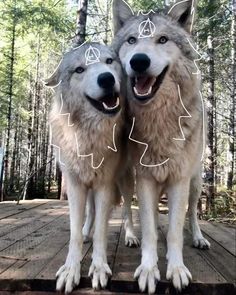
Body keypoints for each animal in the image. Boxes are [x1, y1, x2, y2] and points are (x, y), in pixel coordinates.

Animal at [44, 42, 138, 294]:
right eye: (79, 70)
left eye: (109, 62)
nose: (106, 79)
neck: (88, 135)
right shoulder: (75, 183)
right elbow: (75, 233)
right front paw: (71, 270)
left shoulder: (105, 184)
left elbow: (102, 233)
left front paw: (98, 267)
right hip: (88, 185)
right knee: (91, 212)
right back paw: (88, 231)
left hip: (124, 181)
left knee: (127, 211)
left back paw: (131, 236)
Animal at [112, 0, 210, 294]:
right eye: (132, 40)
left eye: (163, 40)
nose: (139, 61)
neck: (158, 121)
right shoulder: (145, 179)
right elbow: (149, 227)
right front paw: (148, 269)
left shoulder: (179, 180)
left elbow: (176, 230)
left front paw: (176, 269)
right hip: (127, 178)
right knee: (129, 211)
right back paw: (132, 236)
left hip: (195, 182)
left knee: (192, 214)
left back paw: (199, 238)